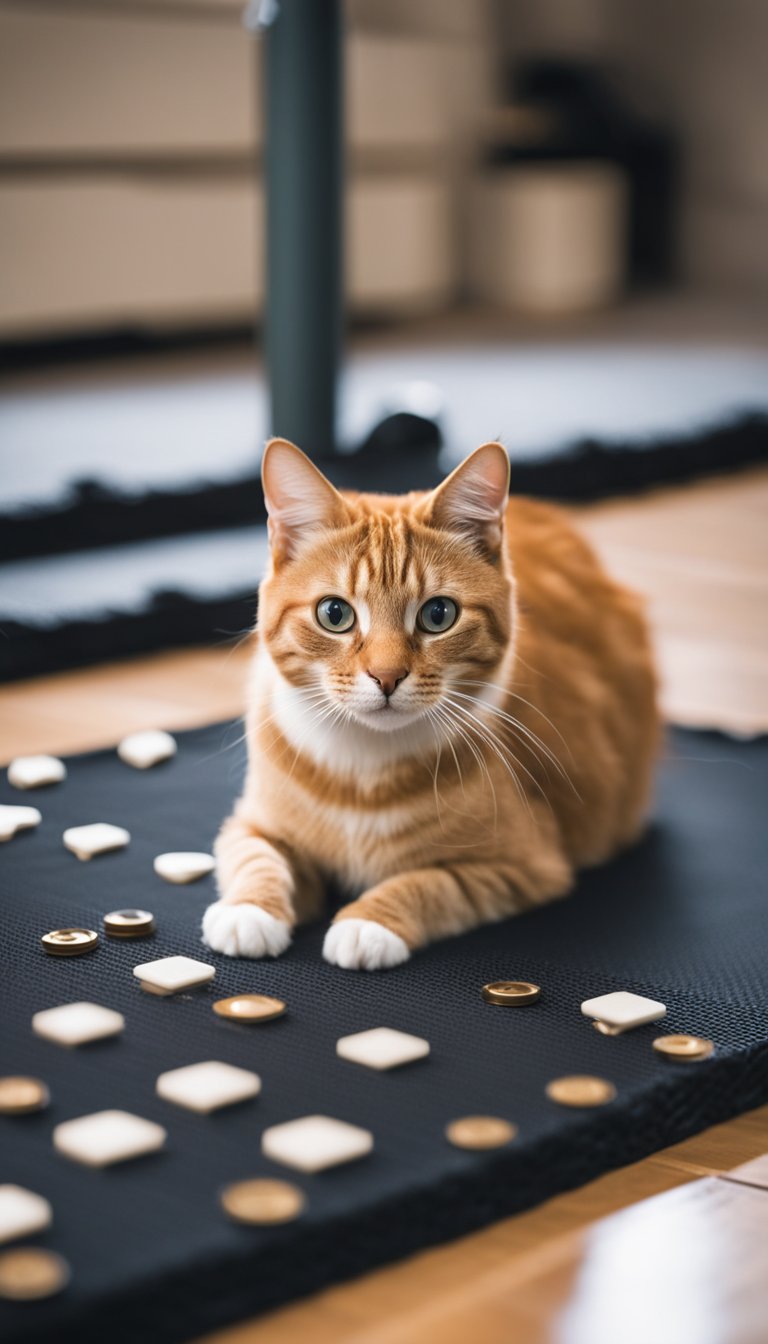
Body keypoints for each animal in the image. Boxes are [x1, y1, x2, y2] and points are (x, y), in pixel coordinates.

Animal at [201, 435, 659, 973]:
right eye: (334, 614)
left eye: (438, 614)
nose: (386, 676)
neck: (363, 770)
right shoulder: (249, 823)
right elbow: (257, 857)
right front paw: (248, 909)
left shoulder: (524, 866)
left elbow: (431, 883)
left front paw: (368, 922)